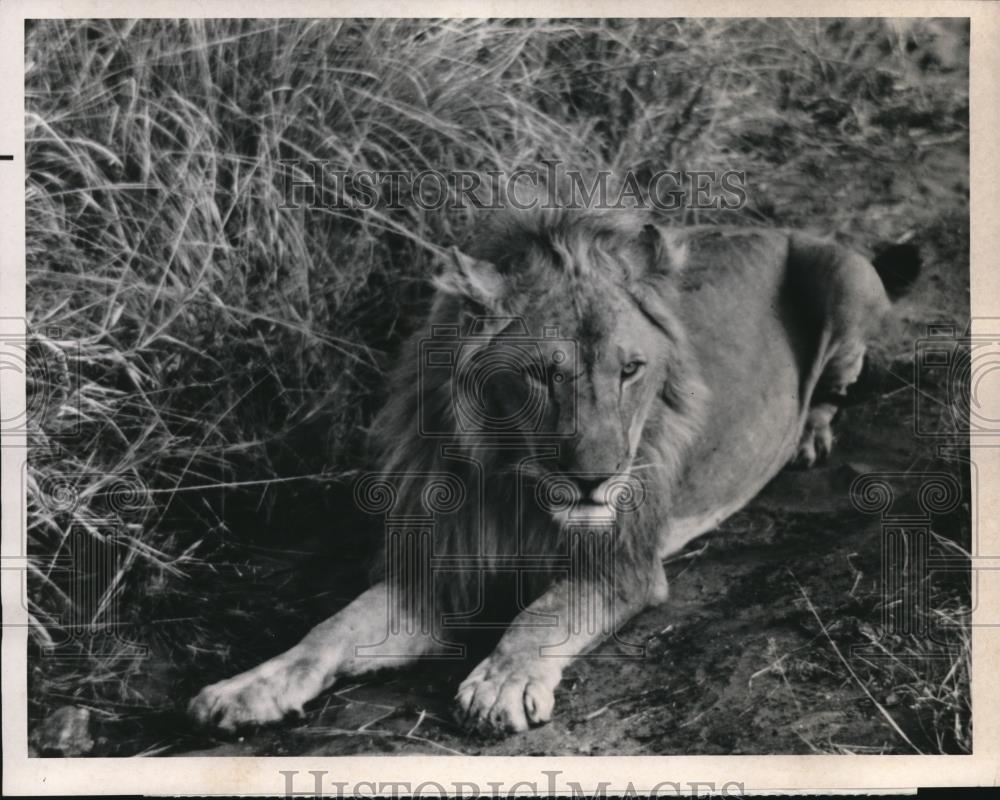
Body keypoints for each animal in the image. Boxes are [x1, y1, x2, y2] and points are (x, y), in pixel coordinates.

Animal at [189, 208, 920, 736]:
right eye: (542, 375)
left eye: (631, 370)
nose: (597, 478)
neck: (517, 488)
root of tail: (777, 225)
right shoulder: (439, 571)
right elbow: (331, 627)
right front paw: (246, 687)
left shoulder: (621, 567)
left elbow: (539, 615)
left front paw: (501, 684)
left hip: (845, 277)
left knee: (836, 383)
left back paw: (810, 437)